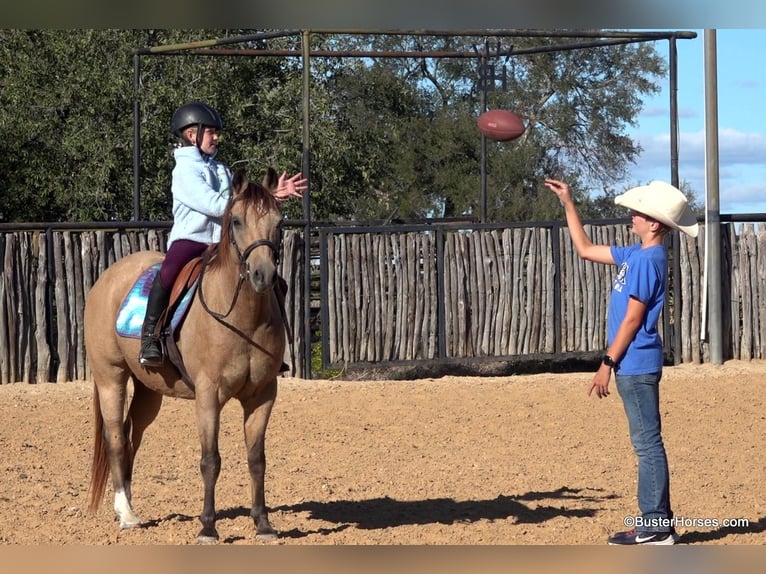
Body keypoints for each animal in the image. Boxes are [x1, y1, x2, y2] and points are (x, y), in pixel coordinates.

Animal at [85, 170, 288, 544]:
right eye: (236, 220)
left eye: (279, 222)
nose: (262, 275)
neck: (243, 316)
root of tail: (105, 279)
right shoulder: (208, 395)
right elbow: (210, 460)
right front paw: (208, 526)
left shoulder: (263, 395)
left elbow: (257, 459)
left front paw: (263, 524)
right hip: (110, 377)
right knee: (116, 438)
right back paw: (125, 513)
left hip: (148, 390)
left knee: (132, 434)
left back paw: (129, 504)